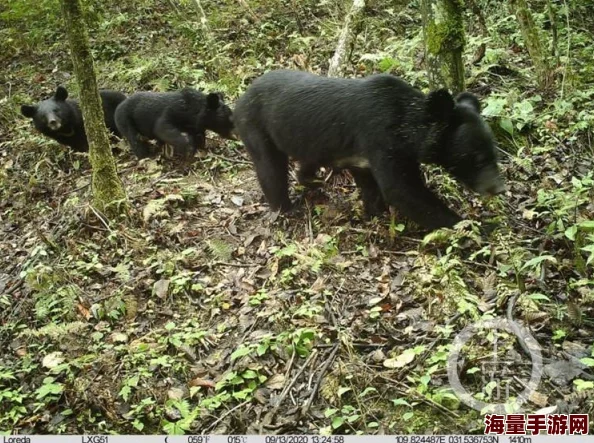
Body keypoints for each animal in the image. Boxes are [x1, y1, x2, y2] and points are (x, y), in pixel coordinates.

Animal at [234, 69, 502, 231]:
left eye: (494, 153)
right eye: (478, 159)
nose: (499, 188)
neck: (407, 126)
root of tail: (241, 97)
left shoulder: (361, 157)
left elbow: (372, 186)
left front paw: (375, 212)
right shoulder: (381, 140)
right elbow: (402, 190)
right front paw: (470, 227)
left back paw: (311, 182)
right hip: (256, 127)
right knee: (270, 169)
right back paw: (285, 208)